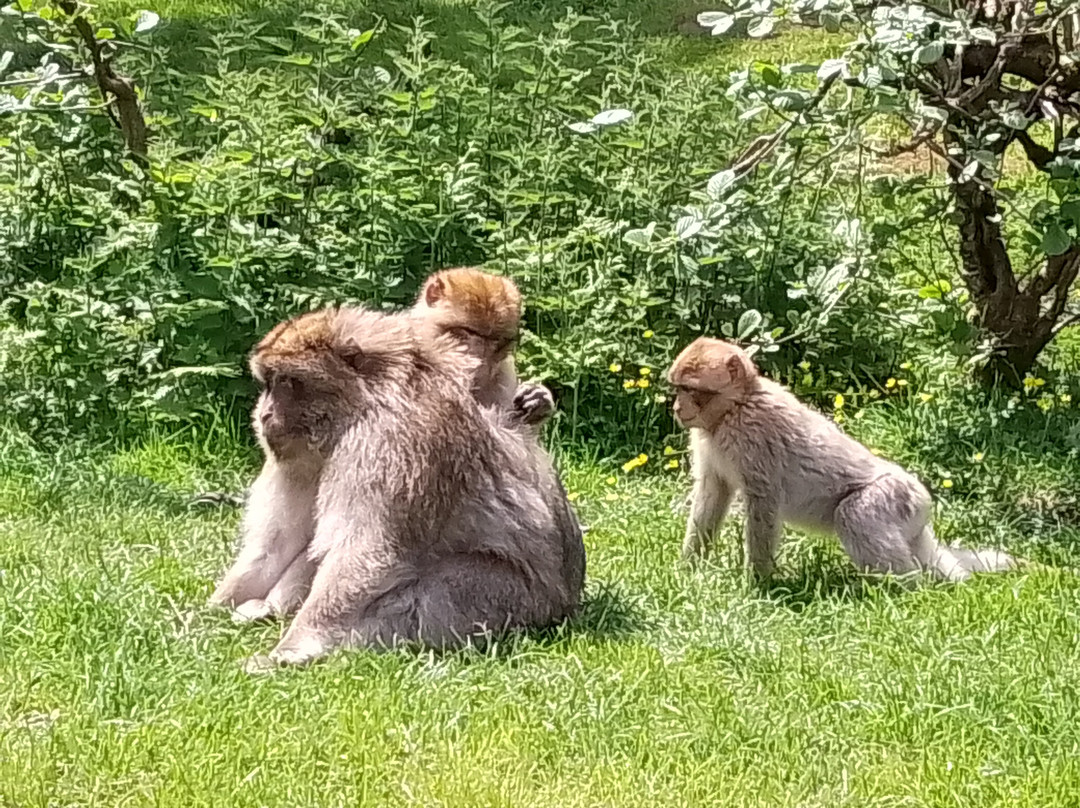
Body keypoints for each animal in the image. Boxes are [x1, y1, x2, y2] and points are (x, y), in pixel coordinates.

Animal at [217, 306, 584, 664]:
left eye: (287, 382)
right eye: (268, 383)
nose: (264, 414)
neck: (364, 405)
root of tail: (566, 602)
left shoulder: (389, 442)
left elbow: (365, 551)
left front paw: (293, 648)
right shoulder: (299, 459)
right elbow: (280, 544)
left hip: (506, 597)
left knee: (431, 596)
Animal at [667, 337, 1015, 582]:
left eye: (690, 389)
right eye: (677, 388)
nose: (677, 408)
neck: (733, 408)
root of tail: (924, 505)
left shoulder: (754, 436)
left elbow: (763, 500)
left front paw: (759, 581)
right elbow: (713, 492)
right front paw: (689, 567)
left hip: (897, 498)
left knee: (854, 514)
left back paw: (909, 588)